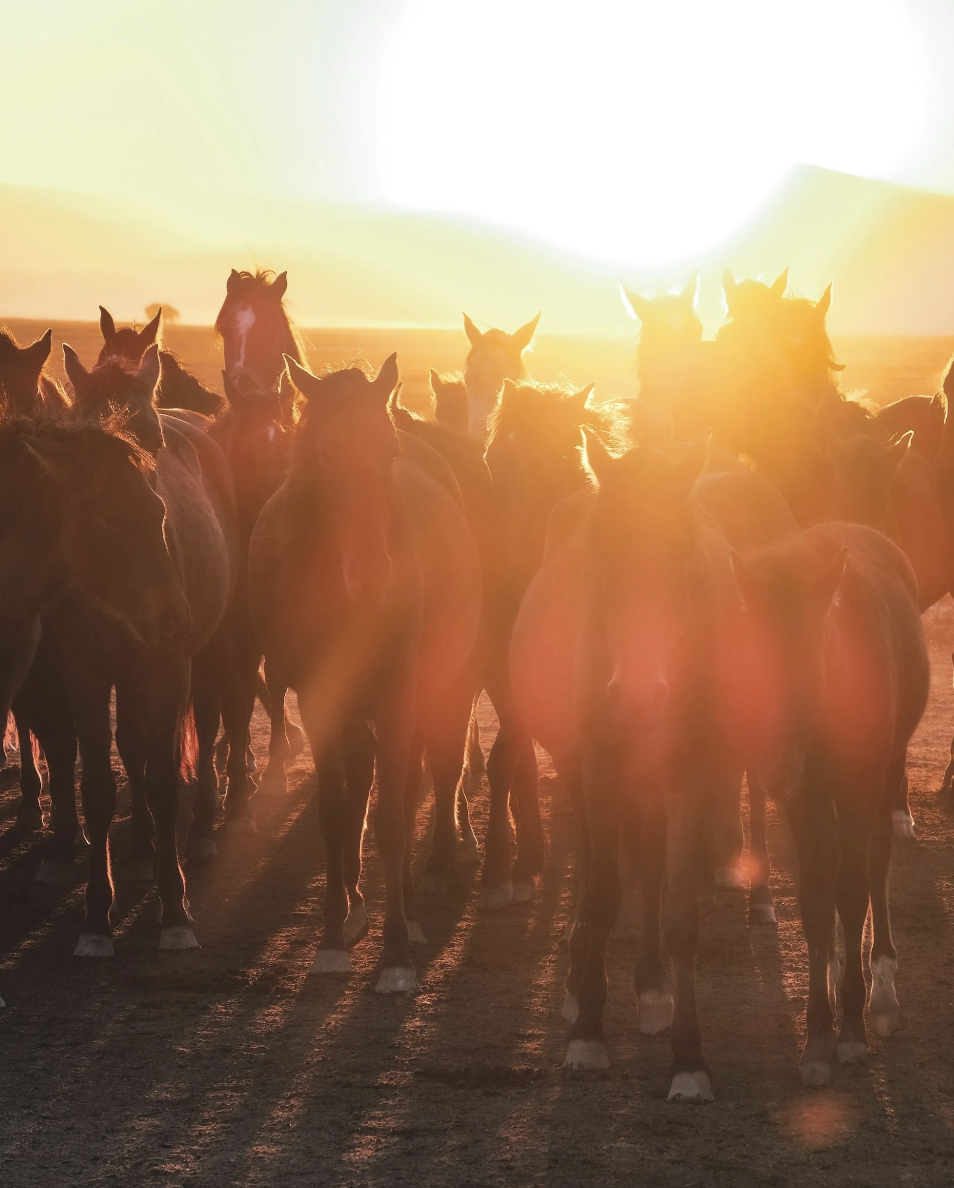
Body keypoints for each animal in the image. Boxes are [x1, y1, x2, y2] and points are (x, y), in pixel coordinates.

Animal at [248, 355, 481, 990]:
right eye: (325, 453)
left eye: (387, 452)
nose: (374, 574)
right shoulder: (319, 701)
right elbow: (335, 814)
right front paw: (332, 935)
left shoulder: (401, 698)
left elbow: (394, 817)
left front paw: (396, 948)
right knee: (360, 785)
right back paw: (353, 901)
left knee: (414, 781)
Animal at [510, 433, 750, 1102]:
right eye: (603, 558)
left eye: (684, 557)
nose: (639, 696)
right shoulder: (601, 772)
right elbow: (602, 893)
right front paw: (588, 1032)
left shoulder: (692, 778)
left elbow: (679, 914)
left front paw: (688, 1059)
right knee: (597, 865)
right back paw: (578, 978)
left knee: (646, 869)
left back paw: (650, 985)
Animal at [733, 522, 928, 1085]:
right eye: (749, 658)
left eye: (813, 659)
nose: (776, 770)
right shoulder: (807, 799)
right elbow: (818, 899)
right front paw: (819, 1033)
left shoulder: (860, 790)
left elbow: (854, 890)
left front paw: (854, 1028)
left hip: (888, 771)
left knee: (876, 864)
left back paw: (881, 990)